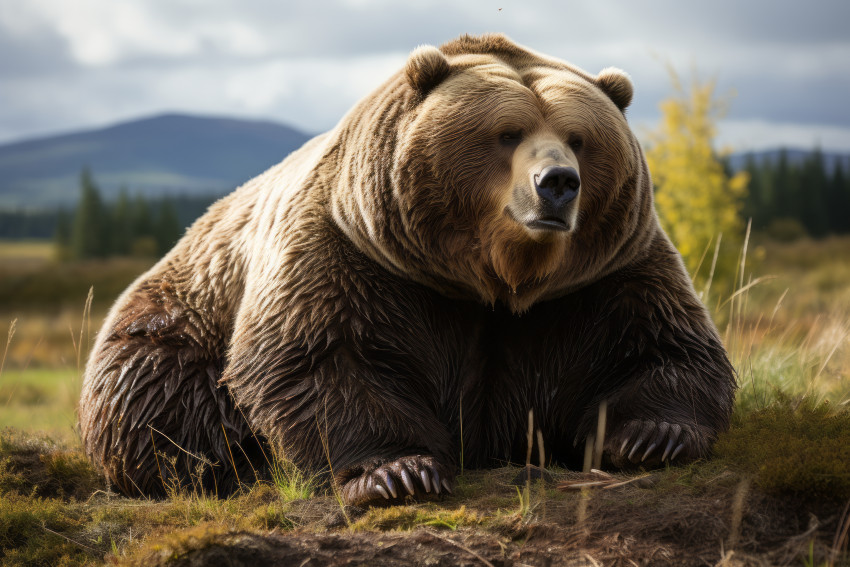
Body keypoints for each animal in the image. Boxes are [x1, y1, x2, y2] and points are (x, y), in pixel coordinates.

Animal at [78, 33, 736, 506]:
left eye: (580, 137)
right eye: (507, 133)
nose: (557, 183)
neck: (494, 279)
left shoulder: (605, 277)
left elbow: (665, 346)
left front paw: (653, 437)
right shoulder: (351, 255)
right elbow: (321, 359)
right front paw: (398, 472)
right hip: (176, 322)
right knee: (152, 401)